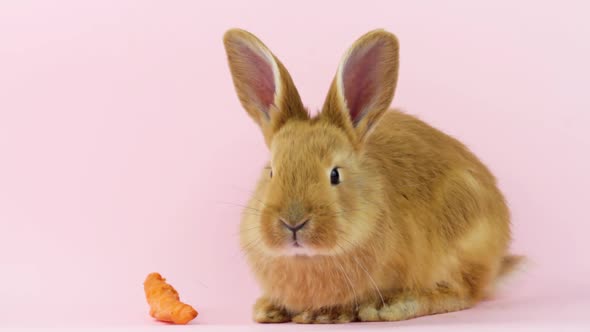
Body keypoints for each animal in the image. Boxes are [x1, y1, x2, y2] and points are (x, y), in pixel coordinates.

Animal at [222, 29, 524, 324]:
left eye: (335, 174)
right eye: (271, 171)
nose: (292, 223)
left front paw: (326, 313)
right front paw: (270, 308)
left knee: (463, 292)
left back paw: (393, 306)